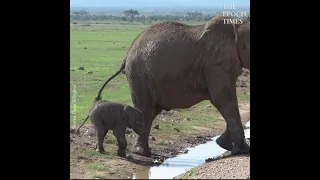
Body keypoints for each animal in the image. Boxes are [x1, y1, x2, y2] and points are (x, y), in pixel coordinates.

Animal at [95, 15, 250, 156]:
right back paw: (141, 152)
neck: (237, 26)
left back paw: (142, 152)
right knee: (146, 110)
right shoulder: (215, 63)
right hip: (139, 75)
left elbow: (224, 100)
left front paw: (224, 144)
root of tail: (127, 55)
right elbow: (222, 99)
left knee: (151, 112)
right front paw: (241, 151)